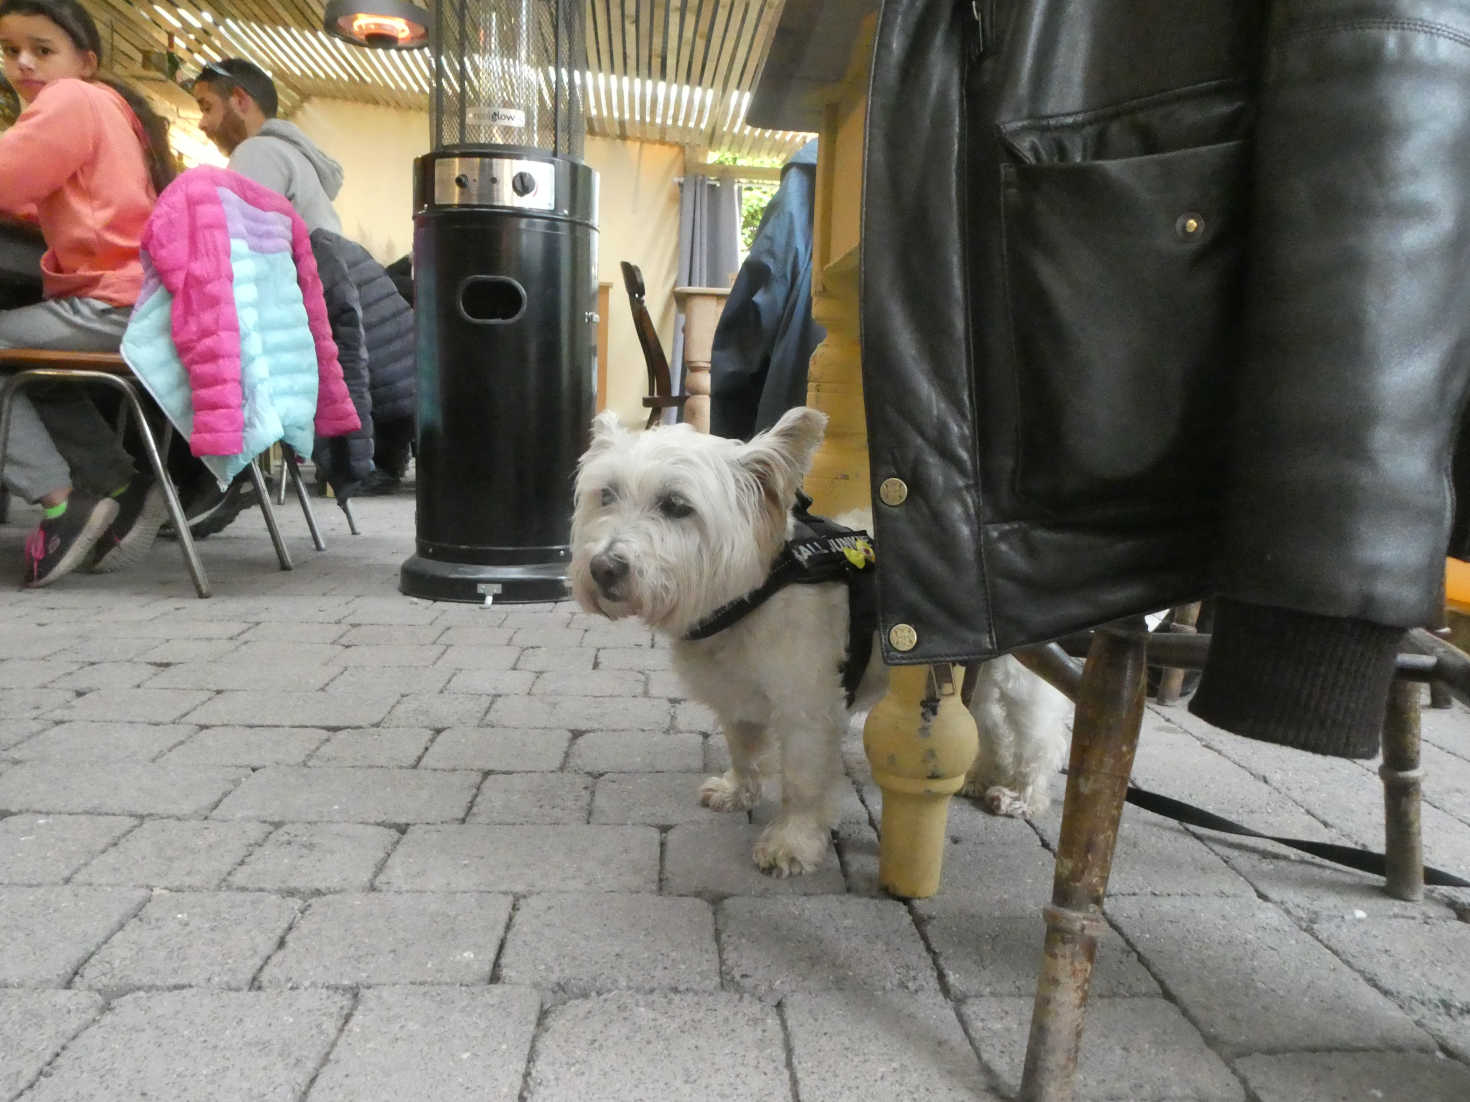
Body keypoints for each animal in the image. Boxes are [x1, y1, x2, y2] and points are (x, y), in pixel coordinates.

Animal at [570, 405, 1070, 881]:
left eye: (676, 505)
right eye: (607, 495)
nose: (604, 568)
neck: (755, 595)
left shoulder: (807, 709)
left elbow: (801, 781)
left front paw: (791, 844)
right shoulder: (738, 695)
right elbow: (743, 748)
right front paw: (737, 790)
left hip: (1019, 673)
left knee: (1039, 733)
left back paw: (1023, 793)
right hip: (976, 668)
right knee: (989, 722)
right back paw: (979, 776)